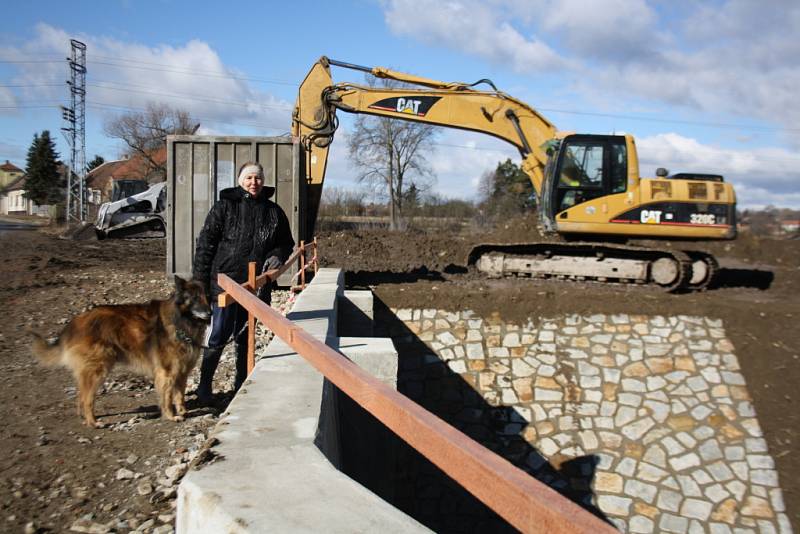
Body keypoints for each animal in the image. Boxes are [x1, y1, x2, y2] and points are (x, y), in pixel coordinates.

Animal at [32, 278, 211, 430]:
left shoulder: (182, 371)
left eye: (206, 296)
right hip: (98, 370)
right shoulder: (167, 372)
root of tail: (74, 323)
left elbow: (179, 394)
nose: (210, 313)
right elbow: (167, 397)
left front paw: (183, 411)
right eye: (195, 297)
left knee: (81, 396)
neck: (181, 320)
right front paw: (171, 416)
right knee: (87, 398)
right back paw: (93, 422)